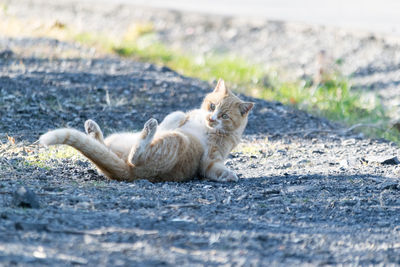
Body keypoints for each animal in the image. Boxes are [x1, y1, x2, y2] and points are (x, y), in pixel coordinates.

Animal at [39, 79, 253, 183]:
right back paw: (92, 129)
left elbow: (213, 168)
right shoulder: (185, 116)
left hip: (178, 141)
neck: (205, 126)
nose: (211, 118)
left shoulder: (209, 161)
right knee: (104, 148)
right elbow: (176, 115)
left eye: (224, 116)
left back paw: (150, 130)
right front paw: (169, 122)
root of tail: (127, 174)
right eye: (211, 106)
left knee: (133, 157)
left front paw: (229, 175)